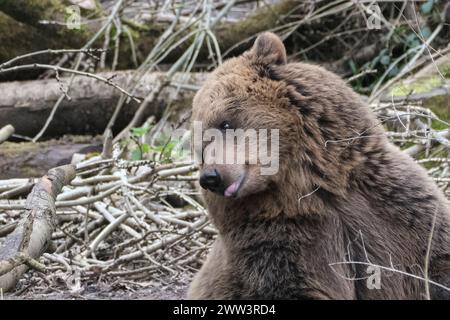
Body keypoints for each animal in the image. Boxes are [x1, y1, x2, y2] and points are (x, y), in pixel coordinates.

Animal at [186, 31, 450, 298]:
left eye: (224, 123)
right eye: (201, 147)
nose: (211, 177)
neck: (313, 182)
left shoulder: (393, 205)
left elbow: (435, 257)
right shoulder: (285, 237)